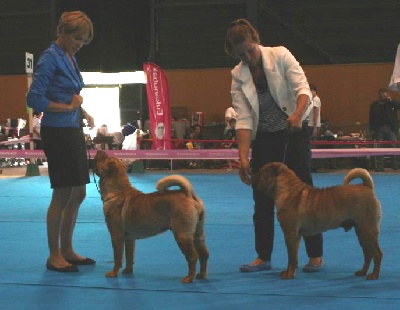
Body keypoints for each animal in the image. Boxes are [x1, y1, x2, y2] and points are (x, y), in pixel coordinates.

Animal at [94, 150, 209, 284]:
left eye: (103, 158)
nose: (100, 150)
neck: (117, 193)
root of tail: (188, 195)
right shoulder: (129, 239)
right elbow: (129, 256)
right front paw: (128, 271)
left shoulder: (116, 236)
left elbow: (117, 257)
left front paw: (113, 273)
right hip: (197, 234)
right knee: (204, 254)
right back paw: (201, 275)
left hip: (182, 234)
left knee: (193, 256)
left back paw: (189, 278)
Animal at [253, 162, 382, 280]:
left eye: (259, 173)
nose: (252, 175)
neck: (286, 190)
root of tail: (366, 186)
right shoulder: (296, 236)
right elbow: (294, 257)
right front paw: (290, 272)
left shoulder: (290, 234)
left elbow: (291, 257)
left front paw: (289, 275)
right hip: (361, 231)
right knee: (368, 253)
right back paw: (362, 272)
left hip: (367, 230)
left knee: (377, 254)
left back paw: (374, 275)